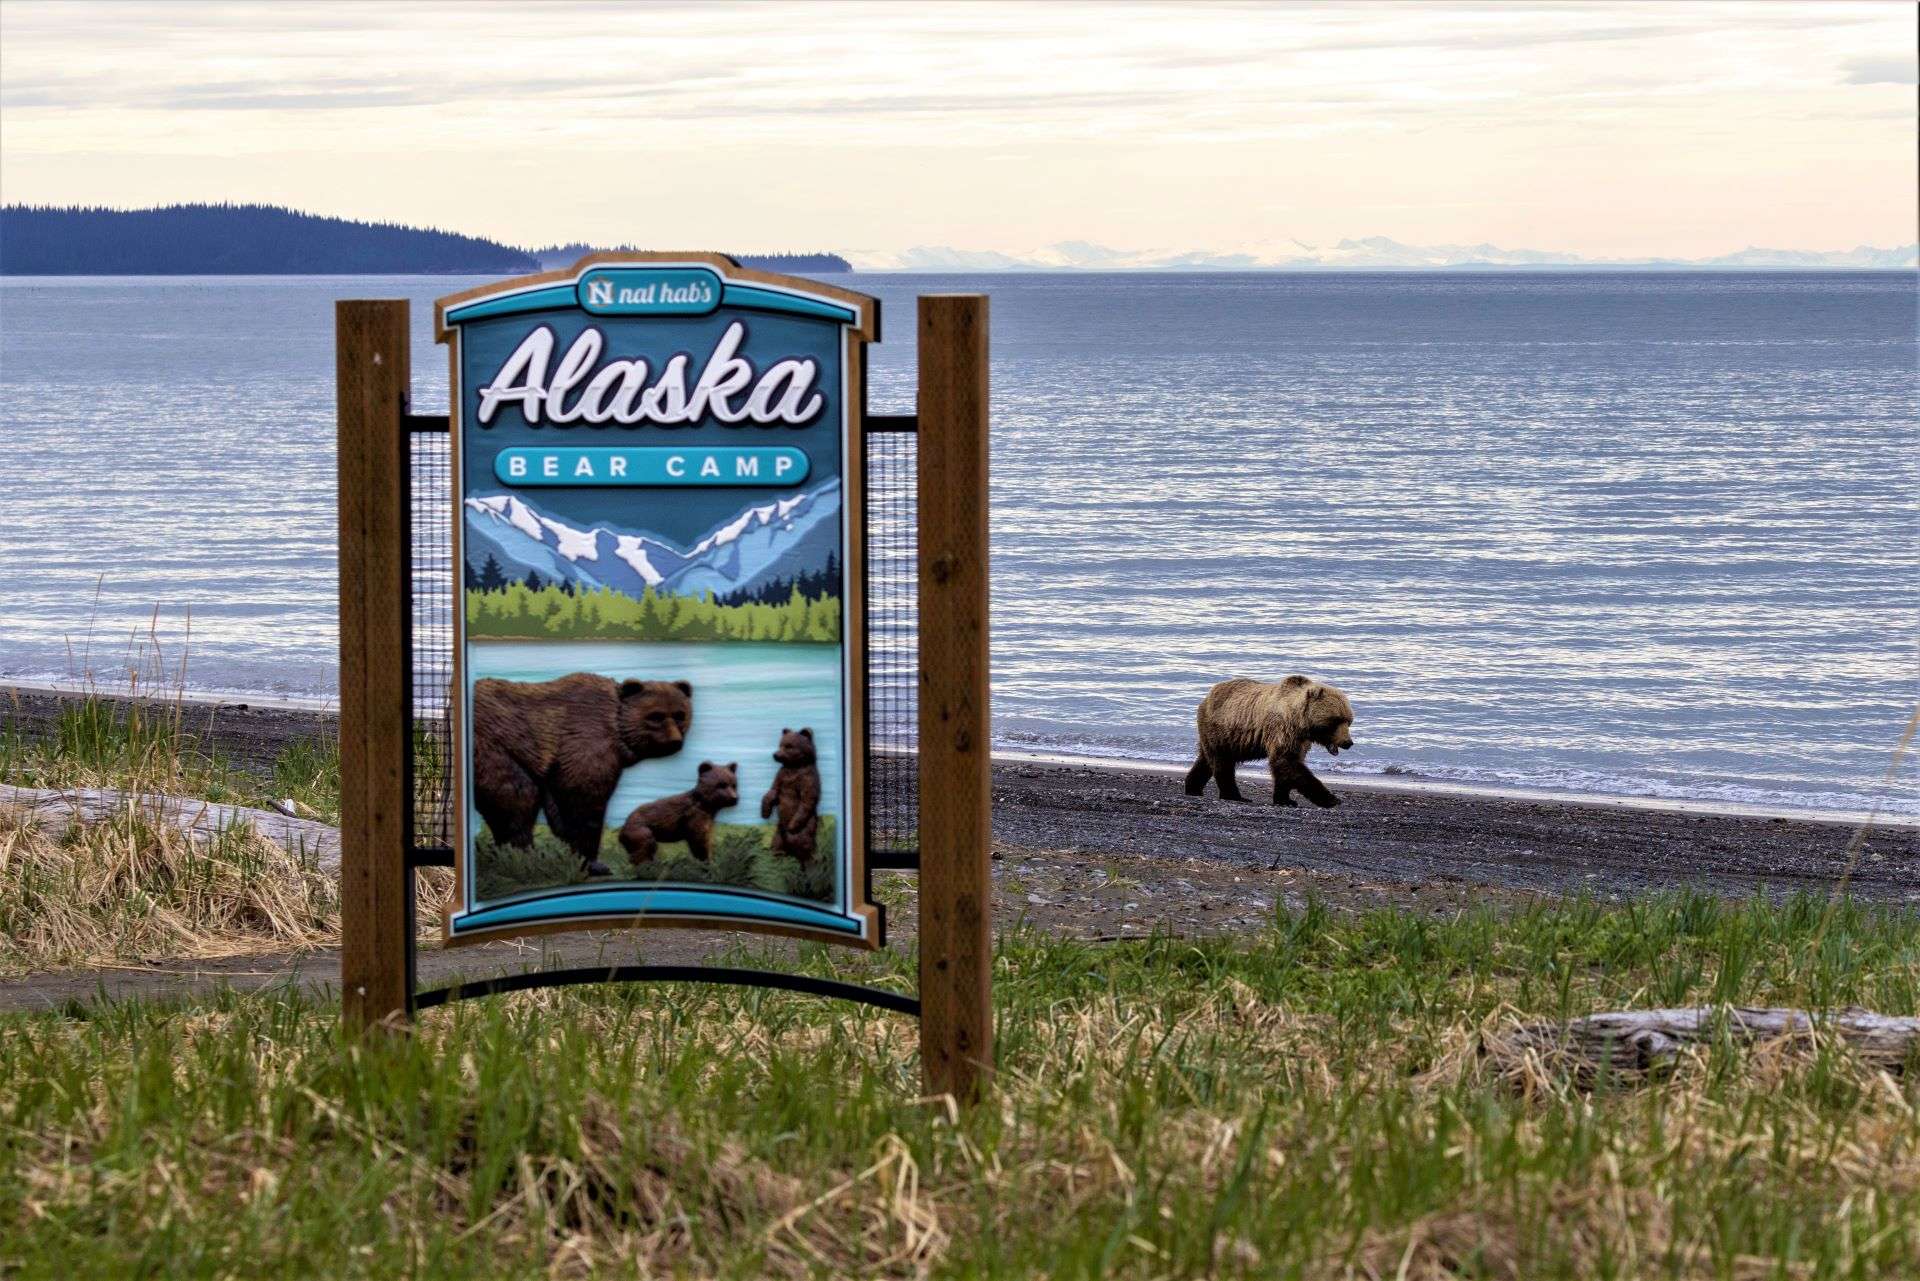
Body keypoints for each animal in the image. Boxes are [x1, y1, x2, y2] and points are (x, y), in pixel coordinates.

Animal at [470, 676, 695, 875]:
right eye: (656, 716)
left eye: (680, 715)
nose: (674, 741)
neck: (617, 730)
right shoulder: (585, 742)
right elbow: (585, 803)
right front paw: (594, 864)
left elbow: (559, 810)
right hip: (490, 747)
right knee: (516, 796)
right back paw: (524, 858)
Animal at [760, 725, 821, 868]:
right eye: (780, 744)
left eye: (789, 746)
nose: (776, 755)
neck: (793, 767)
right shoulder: (781, 776)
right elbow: (773, 792)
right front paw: (765, 811)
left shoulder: (807, 778)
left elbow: (806, 800)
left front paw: (792, 825)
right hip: (778, 831)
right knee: (777, 843)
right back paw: (776, 857)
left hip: (806, 828)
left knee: (802, 843)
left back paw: (809, 863)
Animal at [1175, 676, 1359, 806]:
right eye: (1336, 720)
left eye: (1349, 720)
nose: (1348, 742)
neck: (1300, 722)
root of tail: (1206, 697)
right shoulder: (1282, 729)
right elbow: (1287, 762)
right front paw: (1331, 799)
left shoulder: (1300, 740)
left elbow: (1288, 765)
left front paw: (1285, 799)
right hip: (1219, 728)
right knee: (1222, 763)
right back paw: (1234, 795)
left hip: (1223, 736)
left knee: (1205, 759)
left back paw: (1193, 787)